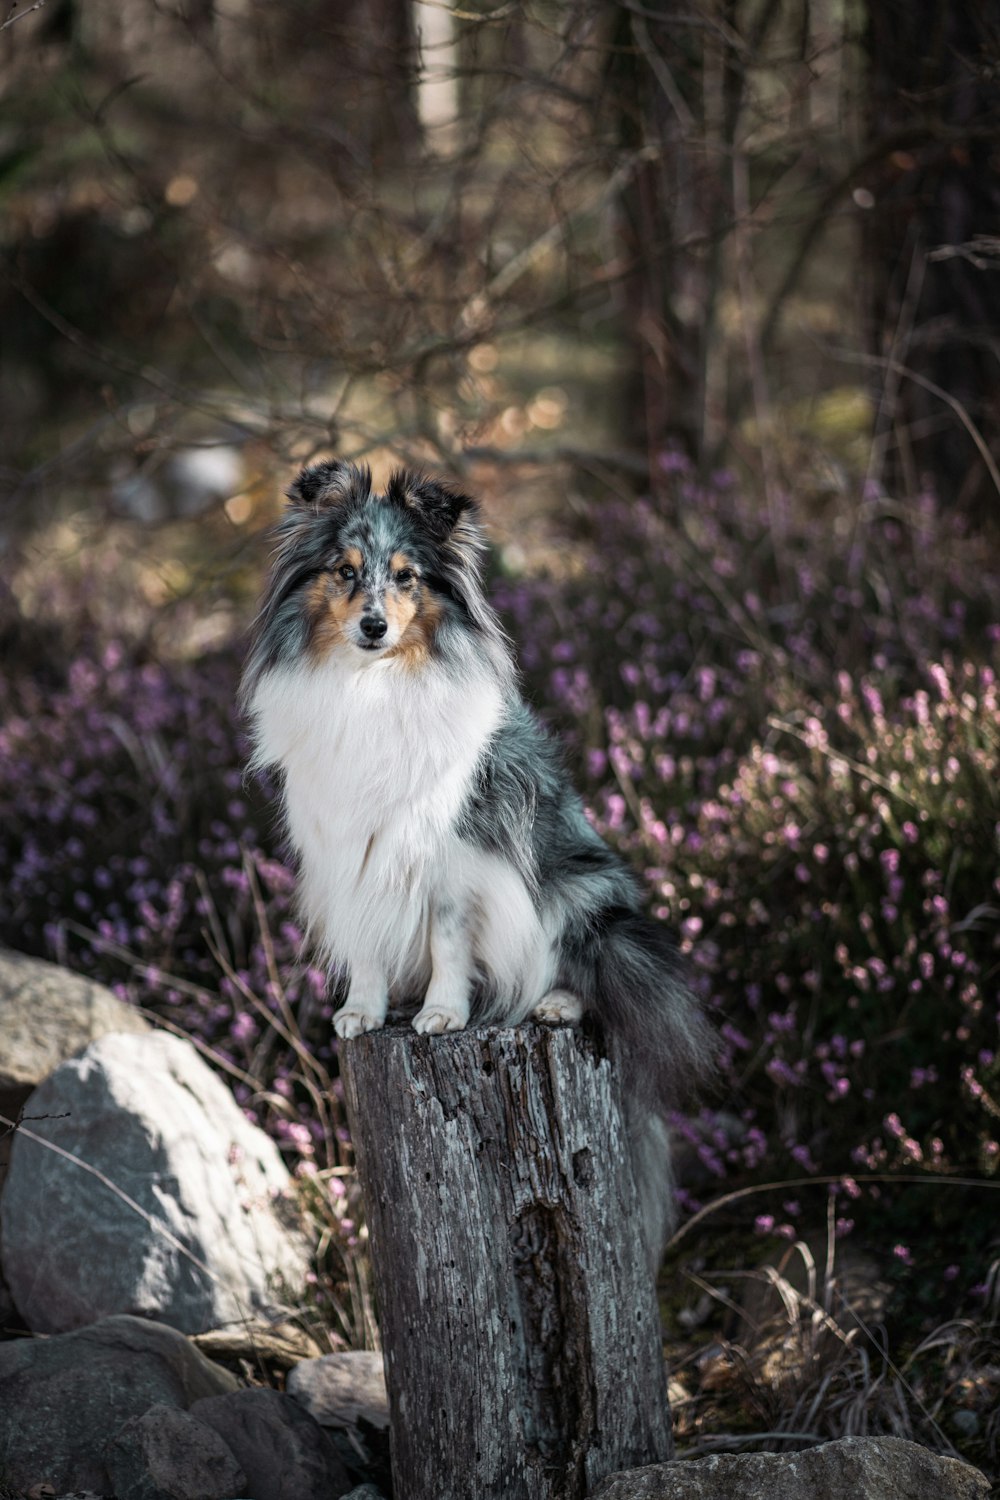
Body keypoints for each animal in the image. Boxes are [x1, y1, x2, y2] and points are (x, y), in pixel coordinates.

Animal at [239, 462, 710, 1260]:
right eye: (345, 571)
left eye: (406, 576)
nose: (373, 626)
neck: (372, 684)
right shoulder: (350, 850)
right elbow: (368, 941)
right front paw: (363, 1012)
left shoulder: (452, 860)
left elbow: (448, 943)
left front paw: (441, 1014)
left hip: (581, 885)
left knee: (581, 969)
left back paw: (554, 1002)